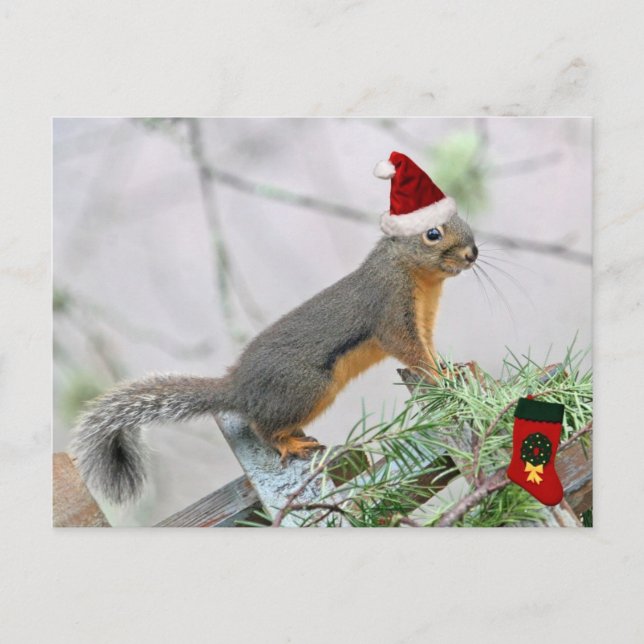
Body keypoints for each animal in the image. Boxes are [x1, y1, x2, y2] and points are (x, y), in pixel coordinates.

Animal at [72, 151, 478, 504]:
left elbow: (426, 348)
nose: (472, 253)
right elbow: (409, 351)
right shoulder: (391, 310)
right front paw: (439, 378)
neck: (416, 276)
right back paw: (289, 444)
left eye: (464, 222)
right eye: (432, 234)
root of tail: (237, 388)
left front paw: (448, 368)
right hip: (306, 388)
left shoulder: (423, 320)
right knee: (261, 429)